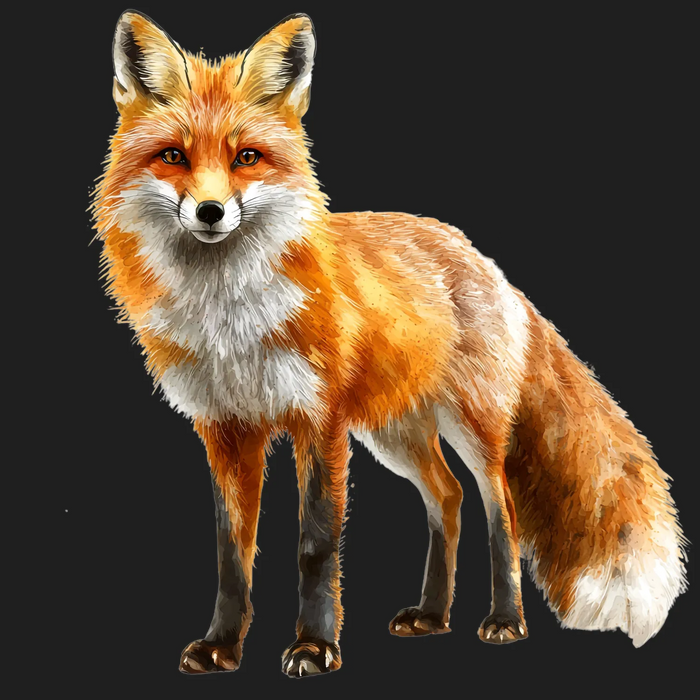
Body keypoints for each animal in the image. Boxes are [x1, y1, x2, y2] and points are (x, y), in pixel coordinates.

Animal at [93, 11, 686, 676]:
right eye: (173, 156)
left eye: (247, 157)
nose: (211, 211)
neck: (229, 319)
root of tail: (481, 257)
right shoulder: (225, 430)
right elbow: (232, 553)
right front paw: (221, 646)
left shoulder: (318, 422)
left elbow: (316, 544)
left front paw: (315, 646)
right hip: (395, 434)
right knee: (448, 498)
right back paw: (432, 614)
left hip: (469, 426)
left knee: (498, 507)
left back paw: (505, 620)